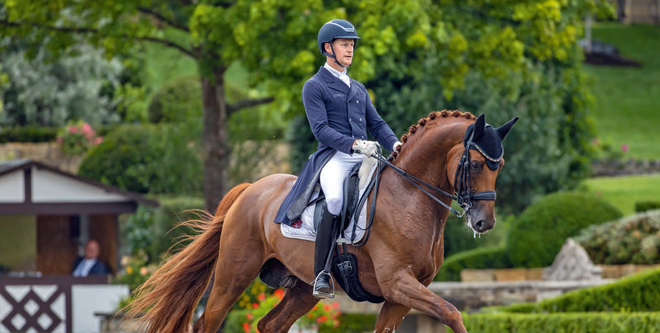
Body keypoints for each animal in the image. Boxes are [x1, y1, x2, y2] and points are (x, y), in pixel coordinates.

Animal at [124, 109, 516, 332]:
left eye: (500, 167)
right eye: (476, 164)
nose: (484, 223)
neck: (410, 196)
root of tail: (252, 189)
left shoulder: (403, 294)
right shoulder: (398, 284)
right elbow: (452, 313)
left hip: (302, 288)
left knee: (270, 324)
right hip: (233, 274)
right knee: (210, 322)